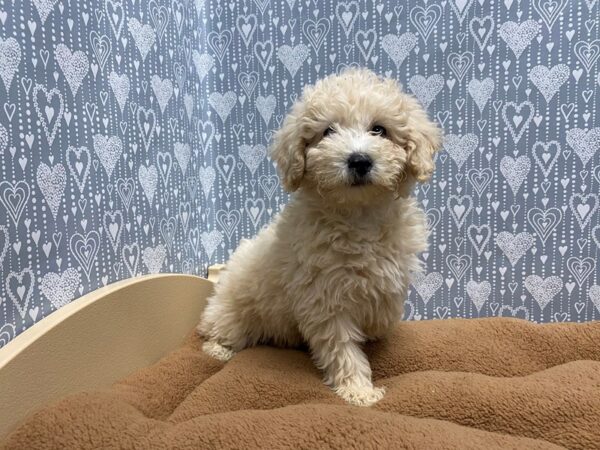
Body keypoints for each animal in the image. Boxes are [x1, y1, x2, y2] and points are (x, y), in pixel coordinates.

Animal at [197, 67, 440, 408]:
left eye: (379, 129)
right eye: (328, 131)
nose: (359, 160)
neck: (357, 214)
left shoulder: (390, 276)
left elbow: (384, 309)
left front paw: (375, 332)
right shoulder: (324, 297)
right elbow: (342, 345)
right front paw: (359, 391)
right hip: (232, 311)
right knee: (217, 331)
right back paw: (218, 350)